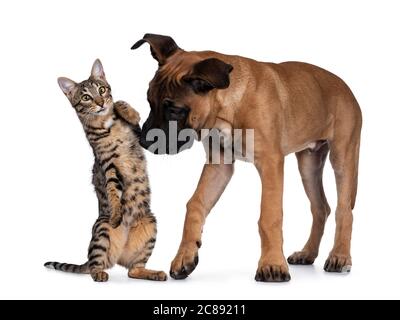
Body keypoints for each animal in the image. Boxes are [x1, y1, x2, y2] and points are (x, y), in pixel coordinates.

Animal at [44, 58, 166, 282]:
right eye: (86, 97)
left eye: (102, 89)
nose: (101, 103)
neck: (106, 125)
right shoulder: (109, 166)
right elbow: (113, 192)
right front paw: (117, 214)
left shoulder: (141, 137)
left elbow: (124, 106)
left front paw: (123, 109)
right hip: (102, 230)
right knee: (95, 264)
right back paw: (99, 273)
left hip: (150, 223)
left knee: (133, 270)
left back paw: (153, 273)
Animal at [132, 33, 362, 282]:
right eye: (149, 101)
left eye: (174, 110)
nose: (143, 141)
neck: (229, 107)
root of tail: (345, 86)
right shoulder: (219, 166)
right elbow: (195, 204)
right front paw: (185, 255)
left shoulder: (270, 163)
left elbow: (270, 216)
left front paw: (272, 265)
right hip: (309, 164)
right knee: (321, 208)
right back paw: (307, 253)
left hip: (343, 158)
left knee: (343, 210)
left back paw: (340, 256)